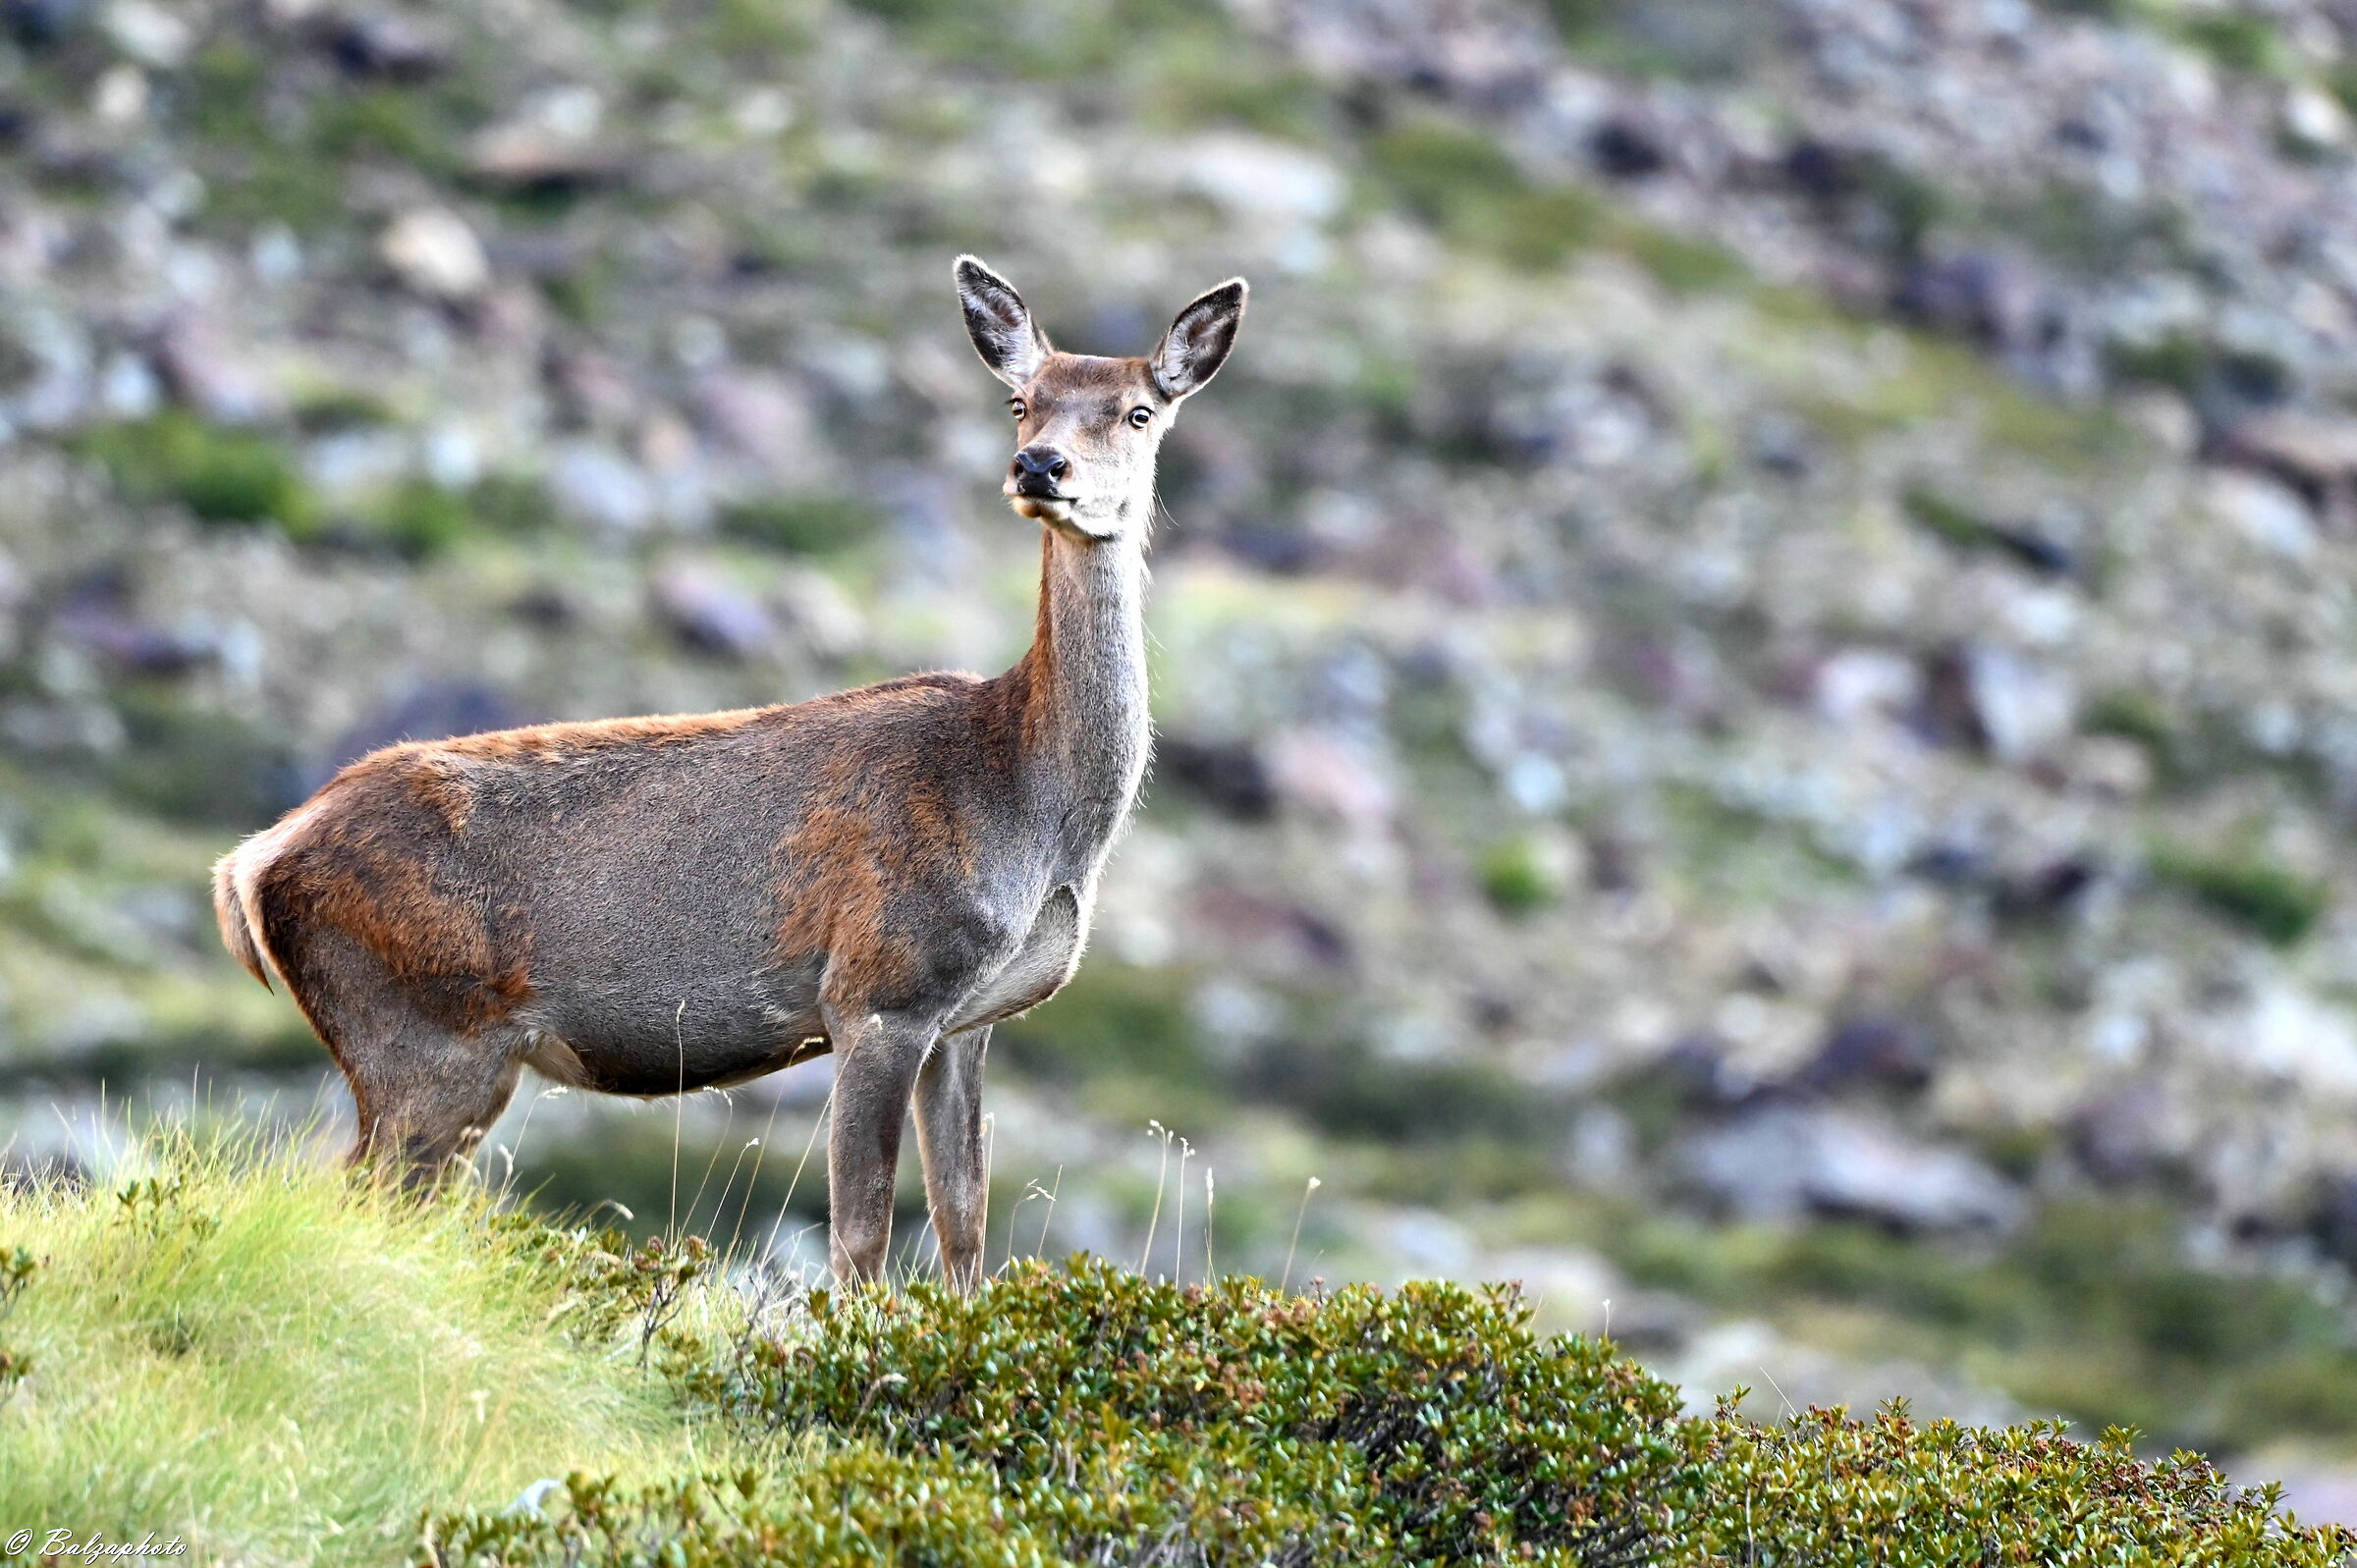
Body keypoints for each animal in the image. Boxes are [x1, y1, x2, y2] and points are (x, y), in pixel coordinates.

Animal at [210, 257, 1246, 1291]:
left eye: (1139, 411)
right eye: (1019, 401)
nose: (1039, 467)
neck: (1034, 811)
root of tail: (253, 862)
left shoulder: (965, 1022)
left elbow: (964, 1231)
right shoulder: (879, 988)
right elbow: (862, 1235)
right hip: (424, 1040)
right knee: (346, 1197)